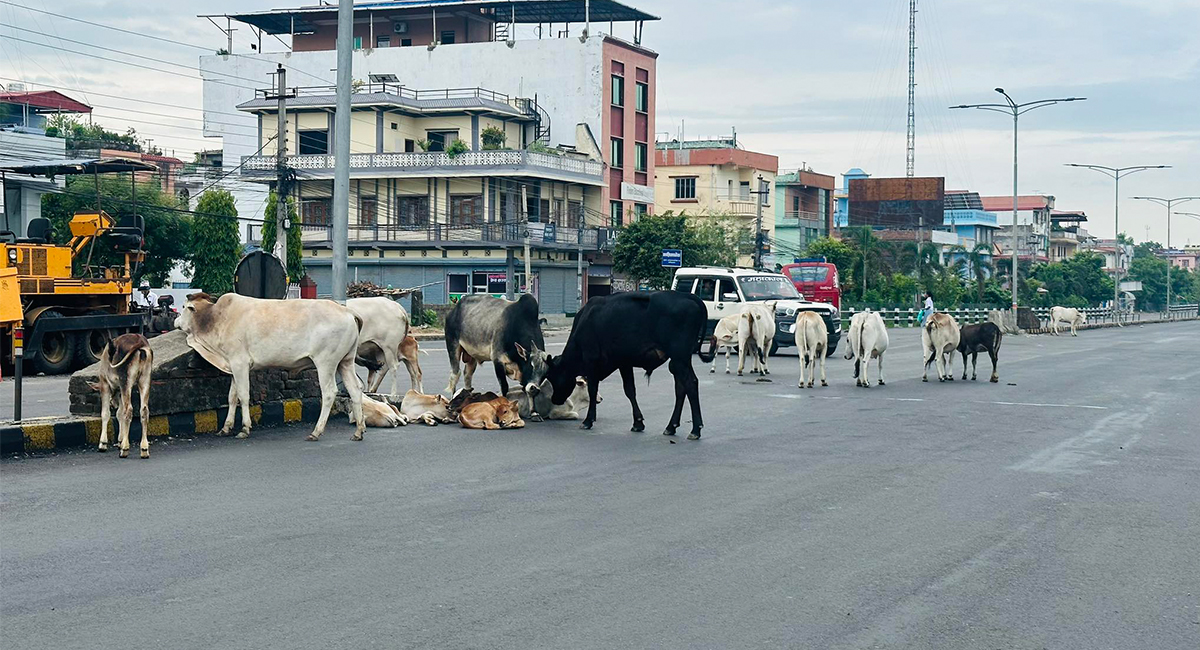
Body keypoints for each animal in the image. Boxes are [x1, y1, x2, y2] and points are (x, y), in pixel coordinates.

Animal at [176, 293, 364, 443]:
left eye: (184, 307)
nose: (175, 320)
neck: (217, 318)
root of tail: (347, 311)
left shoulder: (240, 363)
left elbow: (243, 396)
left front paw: (245, 428)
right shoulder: (233, 366)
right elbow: (232, 397)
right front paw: (225, 428)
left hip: (326, 363)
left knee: (329, 393)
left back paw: (316, 432)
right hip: (345, 362)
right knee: (355, 390)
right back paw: (359, 431)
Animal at [549, 292, 715, 441]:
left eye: (552, 377)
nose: (554, 399)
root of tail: (688, 296)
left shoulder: (591, 360)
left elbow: (592, 390)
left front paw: (588, 421)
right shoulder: (624, 362)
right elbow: (630, 390)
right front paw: (638, 423)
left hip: (680, 357)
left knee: (691, 384)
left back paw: (695, 430)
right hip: (678, 361)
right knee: (681, 388)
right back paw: (671, 427)